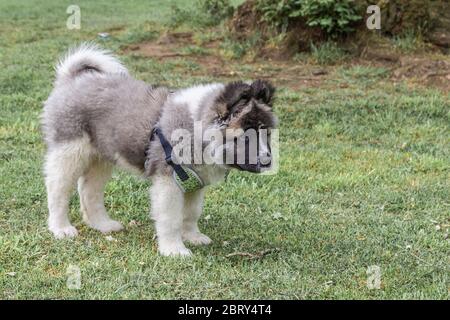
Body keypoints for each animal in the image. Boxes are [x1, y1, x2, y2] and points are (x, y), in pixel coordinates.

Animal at [42, 43, 276, 256]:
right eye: (245, 137)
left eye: (267, 134)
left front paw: (193, 236)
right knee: (57, 190)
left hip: (102, 157)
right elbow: (171, 219)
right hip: (69, 151)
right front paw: (174, 250)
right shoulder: (168, 181)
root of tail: (71, 79)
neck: (196, 129)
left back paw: (103, 225)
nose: (267, 161)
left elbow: (191, 213)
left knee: (89, 191)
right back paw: (61, 228)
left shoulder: (195, 182)